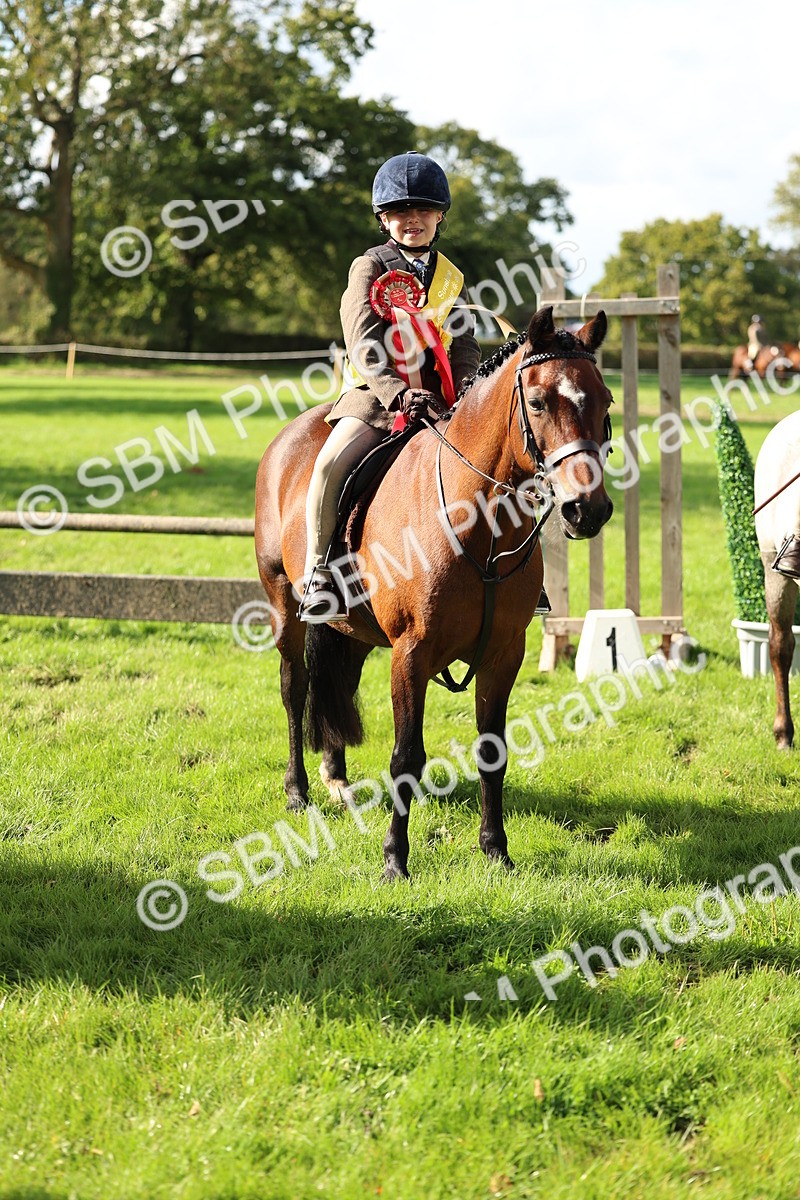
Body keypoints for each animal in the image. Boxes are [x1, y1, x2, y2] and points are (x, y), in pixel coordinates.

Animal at [254, 306, 614, 879]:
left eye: (605, 402)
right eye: (537, 401)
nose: (588, 509)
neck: (479, 523)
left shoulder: (504, 653)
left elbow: (493, 750)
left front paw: (496, 850)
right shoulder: (411, 652)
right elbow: (406, 756)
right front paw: (394, 860)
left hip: (354, 630)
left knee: (338, 683)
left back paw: (337, 777)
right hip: (283, 601)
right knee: (295, 687)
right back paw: (298, 791)